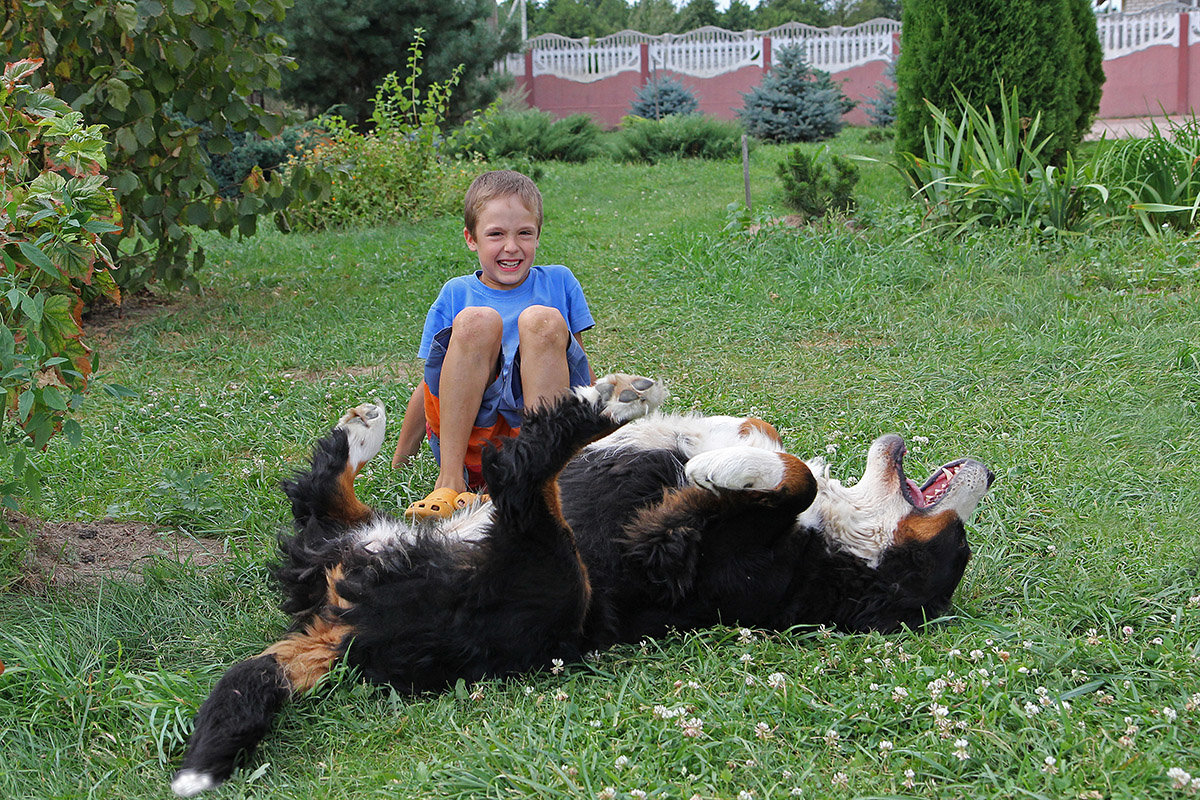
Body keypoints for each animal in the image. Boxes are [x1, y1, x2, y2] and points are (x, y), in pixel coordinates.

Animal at [169, 374, 993, 796]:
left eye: (954, 551)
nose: (990, 472)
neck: (841, 548)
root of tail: (344, 628)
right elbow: (773, 442)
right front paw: (737, 442)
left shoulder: (669, 544)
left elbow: (785, 479)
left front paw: (724, 466)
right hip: (371, 540)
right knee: (322, 494)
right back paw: (365, 426)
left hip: (557, 579)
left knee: (522, 478)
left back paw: (610, 402)